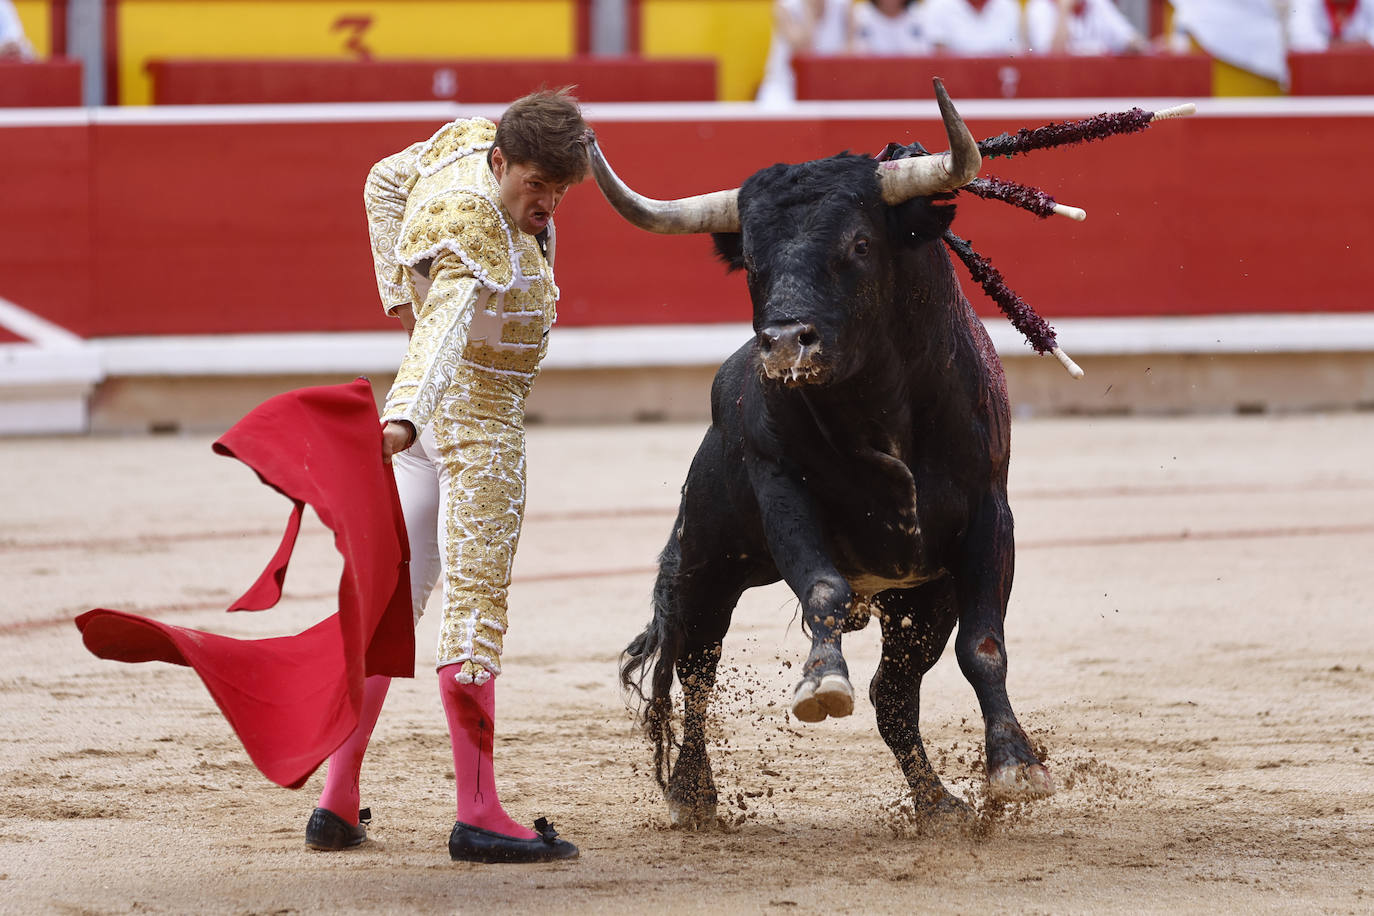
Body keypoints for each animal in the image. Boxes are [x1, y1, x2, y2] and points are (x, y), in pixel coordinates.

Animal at [590, 84, 1049, 829]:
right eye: (752, 261)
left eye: (859, 243)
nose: (784, 342)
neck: (878, 406)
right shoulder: (784, 494)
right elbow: (824, 590)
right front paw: (821, 680)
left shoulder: (989, 517)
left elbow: (984, 647)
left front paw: (1015, 766)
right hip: (706, 567)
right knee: (695, 672)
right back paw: (694, 794)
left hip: (922, 598)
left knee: (894, 695)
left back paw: (936, 804)